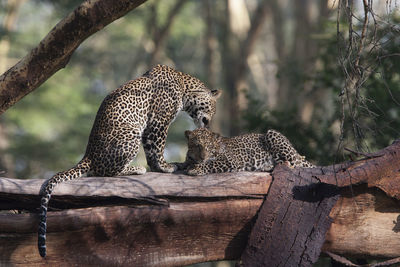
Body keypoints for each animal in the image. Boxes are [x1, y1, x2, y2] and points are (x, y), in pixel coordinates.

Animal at [37, 64, 222, 258]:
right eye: (212, 109)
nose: (208, 124)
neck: (184, 87)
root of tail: (88, 155)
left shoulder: (150, 127)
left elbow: (151, 150)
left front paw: (158, 167)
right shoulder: (159, 121)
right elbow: (158, 147)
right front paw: (166, 167)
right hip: (131, 133)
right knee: (104, 172)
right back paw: (136, 169)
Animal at [180, 127, 314, 176]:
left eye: (209, 147)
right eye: (197, 145)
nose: (203, 157)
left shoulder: (230, 161)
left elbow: (210, 163)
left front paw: (195, 169)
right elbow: (182, 164)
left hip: (272, 134)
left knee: (295, 165)